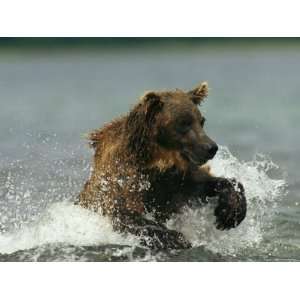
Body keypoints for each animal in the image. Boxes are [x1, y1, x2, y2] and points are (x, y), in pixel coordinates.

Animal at [77, 81, 246, 248]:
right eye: (184, 122)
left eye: (202, 121)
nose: (211, 147)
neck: (158, 160)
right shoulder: (122, 180)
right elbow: (126, 213)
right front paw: (176, 239)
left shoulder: (177, 180)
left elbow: (208, 182)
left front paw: (230, 212)